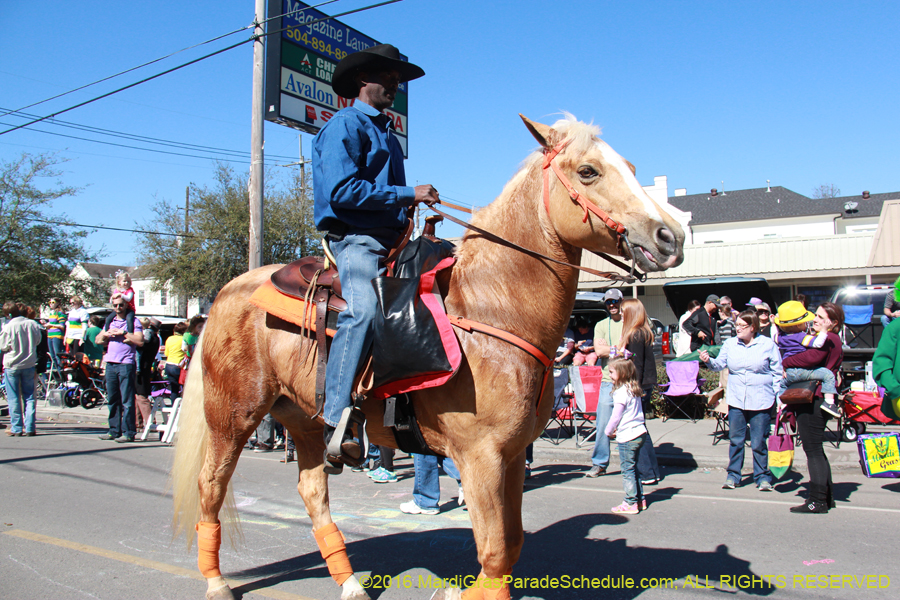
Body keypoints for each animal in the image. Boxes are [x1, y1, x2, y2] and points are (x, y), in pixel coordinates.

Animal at [172, 113, 684, 600]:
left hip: (301, 420)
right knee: (210, 485)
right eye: (588, 171)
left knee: (312, 491)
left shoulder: (511, 456)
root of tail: (228, 292)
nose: (671, 237)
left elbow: (511, 546)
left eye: (631, 167)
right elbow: (495, 552)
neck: (489, 307)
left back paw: (350, 583)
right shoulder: (480, 457)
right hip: (231, 416)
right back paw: (216, 582)